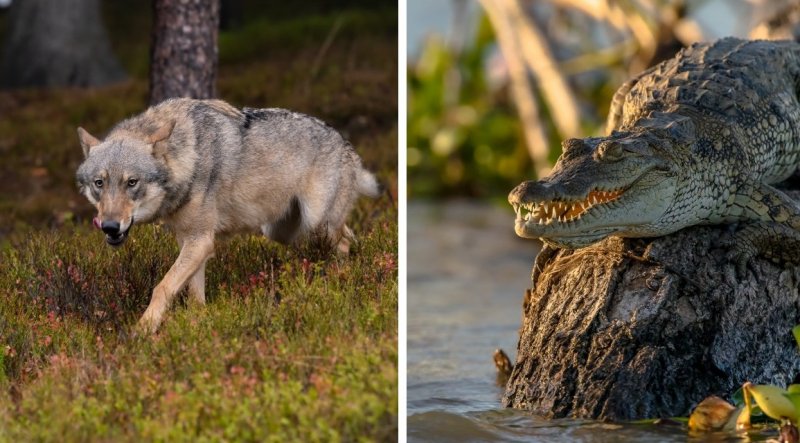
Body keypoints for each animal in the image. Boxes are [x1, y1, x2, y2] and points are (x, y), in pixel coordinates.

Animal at [76, 97, 380, 332]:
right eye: (99, 183)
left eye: (132, 182)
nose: (109, 227)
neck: (187, 157)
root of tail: (346, 144)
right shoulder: (191, 241)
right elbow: (193, 295)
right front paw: (198, 323)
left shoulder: (201, 241)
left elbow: (161, 287)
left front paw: (142, 331)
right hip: (282, 232)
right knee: (350, 235)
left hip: (316, 223)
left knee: (344, 241)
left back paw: (343, 278)